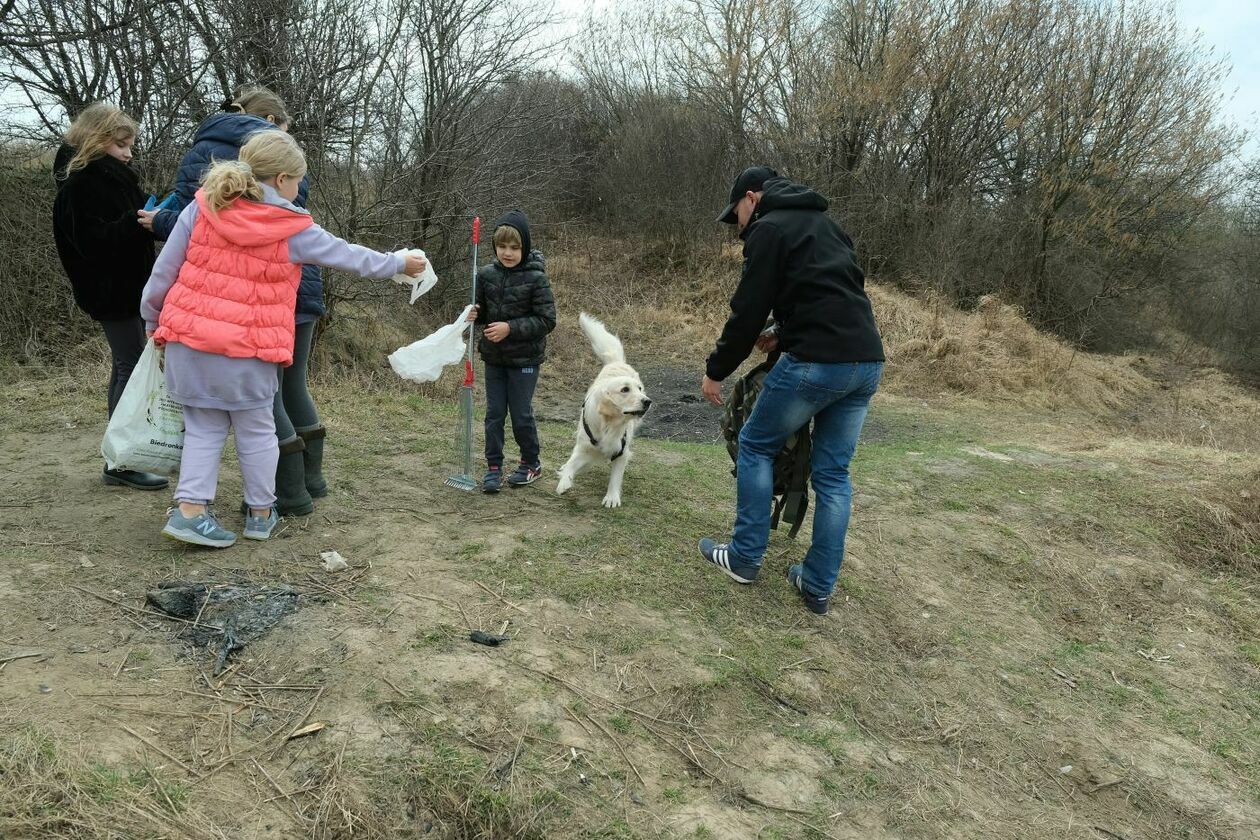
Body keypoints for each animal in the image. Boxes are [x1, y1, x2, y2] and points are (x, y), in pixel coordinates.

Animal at [556, 313, 655, 506]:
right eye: (625, 390)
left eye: (639, 389)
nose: (647, 401)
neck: (609, 424)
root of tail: (616, 362)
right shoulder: (584, 445)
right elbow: (572, 462)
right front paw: (564, 480)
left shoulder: (622, 451)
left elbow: (615, 476)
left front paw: (612, 497)